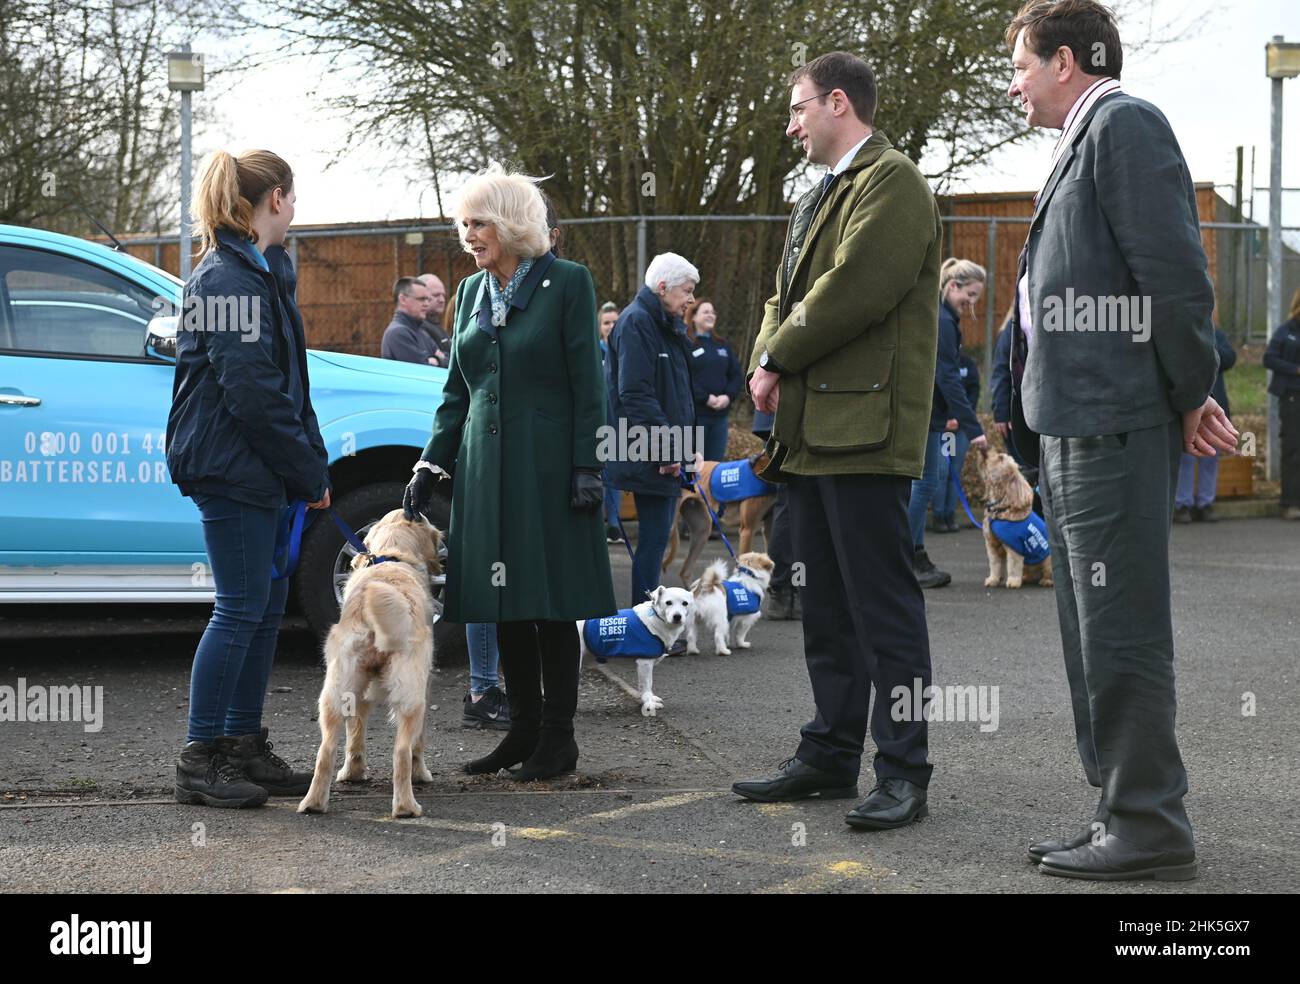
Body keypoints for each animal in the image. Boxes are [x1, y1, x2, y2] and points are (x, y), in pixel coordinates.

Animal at [297, 509, 441, 816]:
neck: (391, 555)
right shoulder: (425, 687)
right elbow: (418, 744)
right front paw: (421, 774)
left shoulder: (360, 695)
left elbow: (355, 733)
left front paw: (353, 772)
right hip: (411, 697)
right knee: (401, 752)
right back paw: (406, 806)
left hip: (336, 692)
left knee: (325, 750)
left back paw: (314, 802)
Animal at [977, 447, 1055, 590]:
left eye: (1000, 458)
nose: (984, 449)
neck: (1000, 509)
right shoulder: (992, 545)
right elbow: (995, 565)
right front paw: (993, 579)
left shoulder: (1014, 547)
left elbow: (1013, 566)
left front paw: (1013, 581)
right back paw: (1025, 578)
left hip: (1047, 560)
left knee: (1049, 573)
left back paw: (1046, 581)